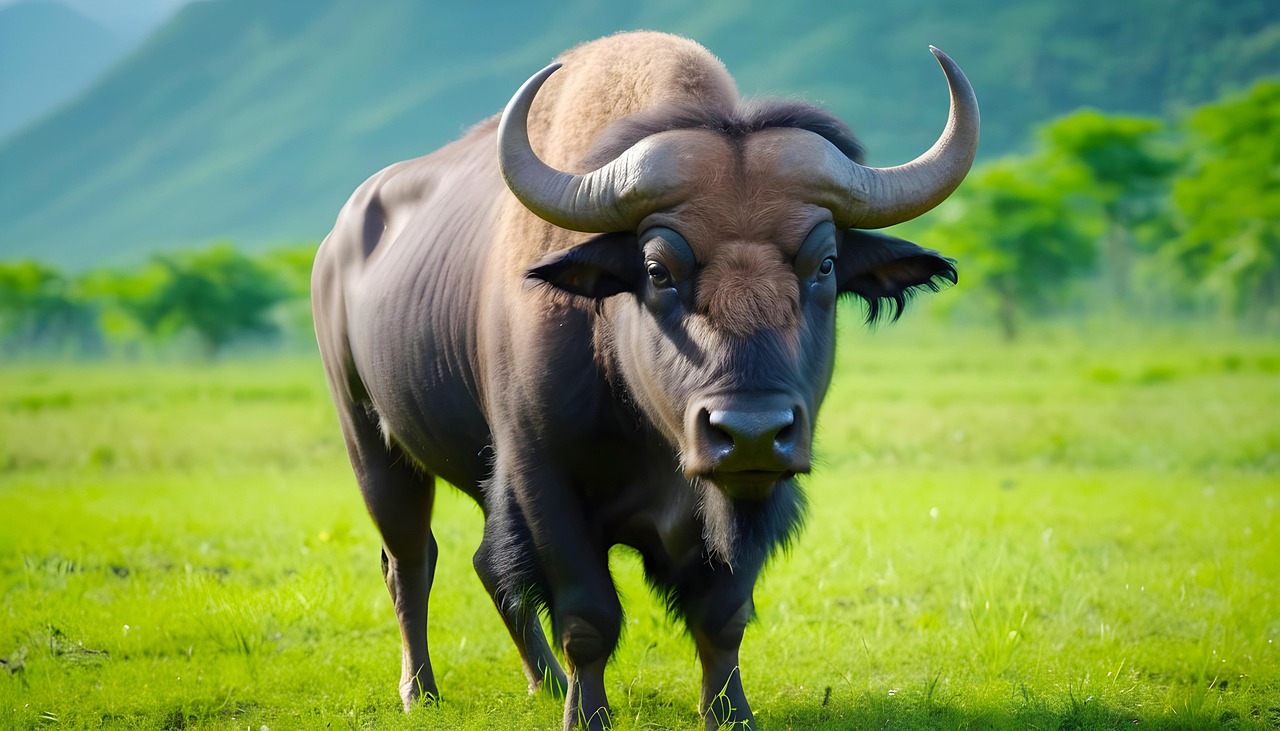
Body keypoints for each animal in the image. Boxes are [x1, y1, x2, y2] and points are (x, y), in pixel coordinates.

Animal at [312, 31, 977, 730]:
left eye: (824, 264)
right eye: (657, 269)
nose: (750, 431)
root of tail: (337, 244)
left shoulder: (748, 493)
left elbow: (722, 618)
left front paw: (730, 713)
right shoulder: (543, 480)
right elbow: (587, 619)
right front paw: (586, 715)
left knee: (485, 567)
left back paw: (542, 683)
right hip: (373, 444)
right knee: (411, 561)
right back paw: (421, 691)